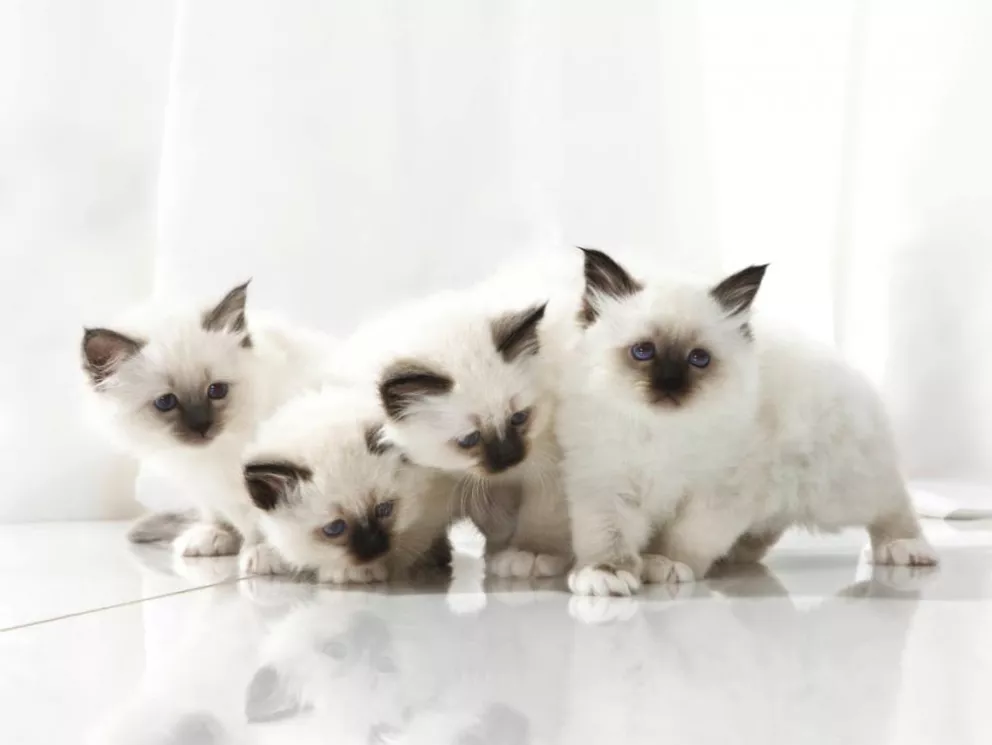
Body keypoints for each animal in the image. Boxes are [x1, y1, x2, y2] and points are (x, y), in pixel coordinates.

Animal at [81, 280, 336, 575]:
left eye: (216, 390)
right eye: (166, 402)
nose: (202, 426)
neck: (215, 455)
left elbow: (272, 521)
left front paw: (269, 554)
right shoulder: (207, 486)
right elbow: (216, 513)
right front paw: (216, 536)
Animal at [242, 385, 454, 584]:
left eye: (384, 509)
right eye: (335, 528)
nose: (375, 547)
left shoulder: (427, 514)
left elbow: (405, 546)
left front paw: (356, 572)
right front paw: (263, 554)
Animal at [342, 287, 573, 579]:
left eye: (519, 418)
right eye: (469, 439)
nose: (510, 458)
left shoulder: (549, 465)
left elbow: (542, 514)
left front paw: (530, 553)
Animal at [559, 248, 938, 597]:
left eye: (699, 359)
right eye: (643, 352)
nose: (670, 385)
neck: (662, 433)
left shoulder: (717, 497)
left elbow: (684, 538)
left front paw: (664, 563)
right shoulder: (607, 486)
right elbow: (608, 538)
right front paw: (606, 575)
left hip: (837, 493)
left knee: (892, 504)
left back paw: (905, 549)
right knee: (768, 529)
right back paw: (732, 557)